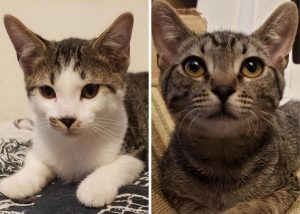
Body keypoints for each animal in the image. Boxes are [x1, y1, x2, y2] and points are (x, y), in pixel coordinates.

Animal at [0, 12, 148, 208]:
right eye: (47, 92)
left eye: (90, 90)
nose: (67, 119)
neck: (74, 144)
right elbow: (36, 157)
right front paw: (20, 180)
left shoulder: (139, 148)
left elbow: (120, 164)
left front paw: (94, 186)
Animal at [154, 0, 300, 213]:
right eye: (193, 66)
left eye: (252, 67)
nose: (223, 88)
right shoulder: (171, 187)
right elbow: (194, 206)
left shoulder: (289, 185)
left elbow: (263, 203)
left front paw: (241, 208)